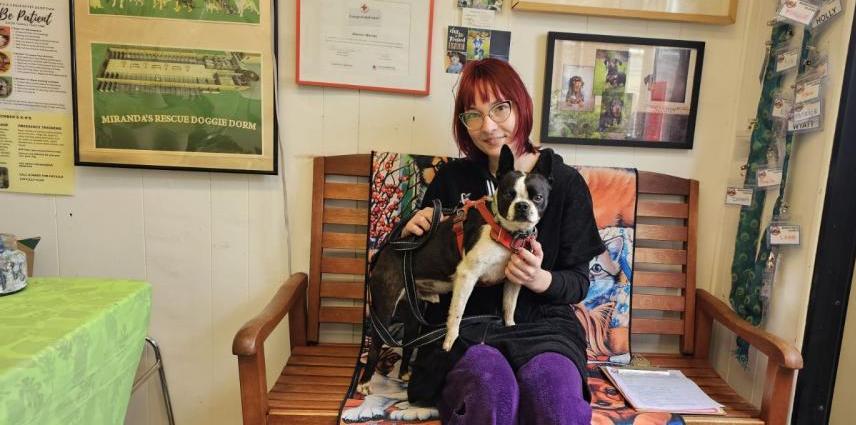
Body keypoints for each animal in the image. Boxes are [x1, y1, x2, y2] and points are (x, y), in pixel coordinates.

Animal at [358, 145, 551, 395]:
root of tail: (385, 250)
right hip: (385, 306)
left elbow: (509, 307)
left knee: (410, 340)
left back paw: (404, 373)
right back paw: (364, 383)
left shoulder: (513, 279)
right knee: (376, 343)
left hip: (413, 310)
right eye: (509, 194)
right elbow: (457, 313)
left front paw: (510, 327)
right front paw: (449, 342)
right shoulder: (467, 275)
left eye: (538, 197)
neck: (505, 231)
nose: (522, 205)